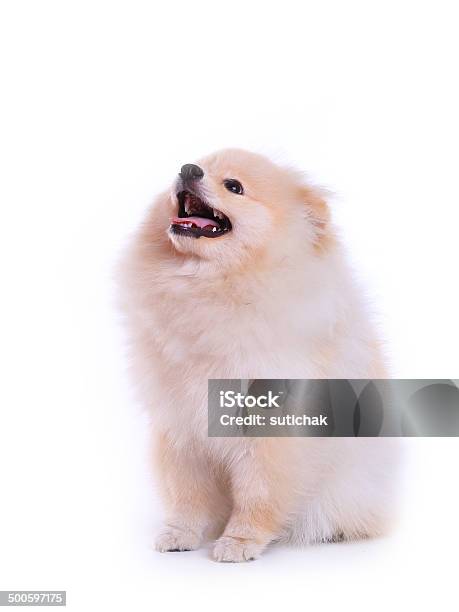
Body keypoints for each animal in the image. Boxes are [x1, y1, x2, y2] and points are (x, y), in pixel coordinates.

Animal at [120, 147, 400, 560]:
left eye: (234, 186)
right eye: (199, 165)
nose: (188, 169)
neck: (213, 289)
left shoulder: (271, 430)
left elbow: (258, 492)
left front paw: (239, 541)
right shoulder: (180, 423)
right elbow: (187, 493)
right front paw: (180, 533)